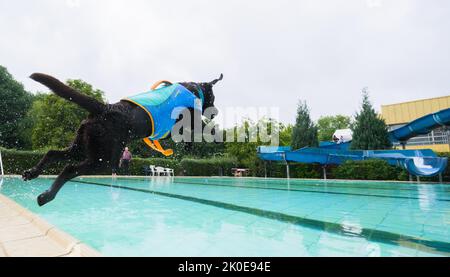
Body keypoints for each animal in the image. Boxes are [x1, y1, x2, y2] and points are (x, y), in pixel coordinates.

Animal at [22, 72, 223, 206]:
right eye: (213, 98)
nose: (216, 113)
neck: (194, 89)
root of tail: (105, 108)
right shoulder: (189, 119)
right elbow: (203, 128)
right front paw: (216, 136)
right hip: (103, 159)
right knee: (69, 169)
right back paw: (46, 196)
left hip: (82, 146)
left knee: (52, 153)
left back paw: (31, 173)